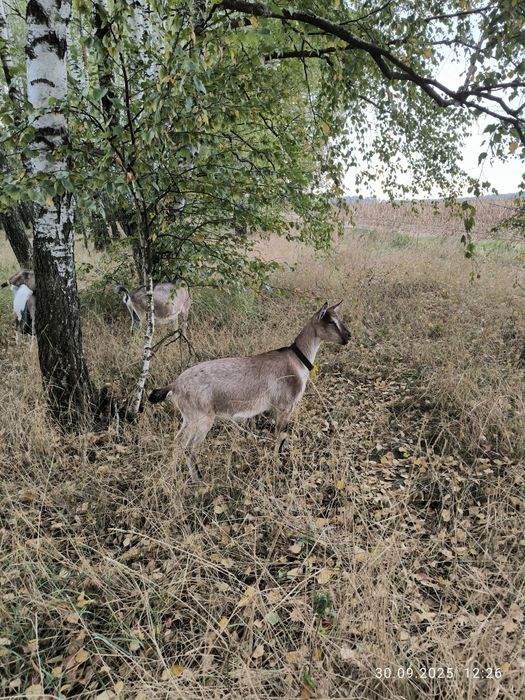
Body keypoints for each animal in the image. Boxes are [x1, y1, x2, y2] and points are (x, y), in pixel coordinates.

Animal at [148, 302, 351, 480]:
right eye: (331, 322)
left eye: (339, 318)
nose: (348, 336)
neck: (297, 360)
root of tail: (174, 385)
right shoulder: (284, 406)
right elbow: (280, 437)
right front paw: (278, 466)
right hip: (202, 419)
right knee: (189, 448)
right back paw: (198, 480)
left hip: (188, 419)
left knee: (177, 443)